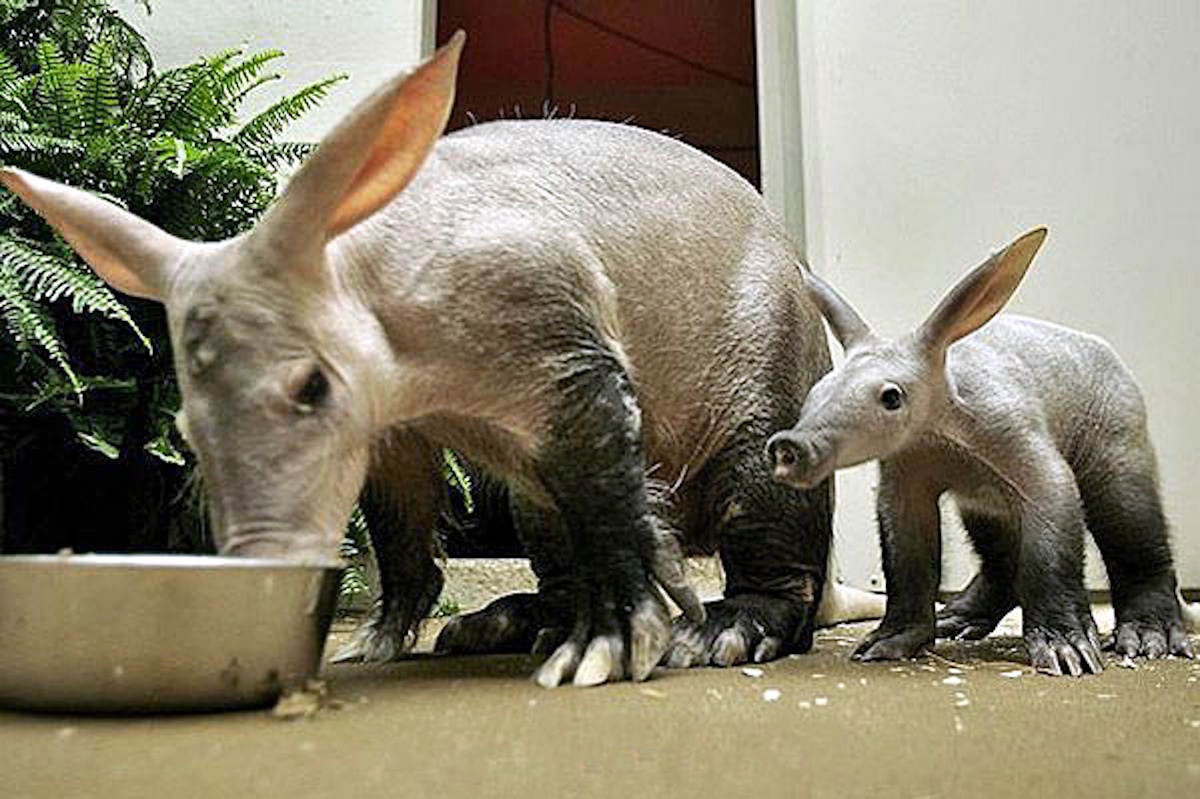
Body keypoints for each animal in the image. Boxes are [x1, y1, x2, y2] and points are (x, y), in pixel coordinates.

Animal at [2, 33, 851, 686]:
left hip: (771, 406)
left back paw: (713, 632)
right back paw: (501, 625)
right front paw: (370, 645)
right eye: (182, 428)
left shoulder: (554, 328)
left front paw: (601, 655)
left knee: (779, 560)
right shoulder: (393, 425)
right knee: (552, 548)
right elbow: (398, 514)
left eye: (311, 386)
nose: (261, 569)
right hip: (531, 503)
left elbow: (608, 481)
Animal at [769, 228, 1195, 675]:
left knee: (1132, 528)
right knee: (1000, 556)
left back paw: (1149, 636)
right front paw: (889, 642)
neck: (941, 431)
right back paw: (957, 619)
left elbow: (1051, 527)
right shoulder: (908, 468)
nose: (789, 447)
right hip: (984, 505)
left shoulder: (1018, 439)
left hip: (1118, 435)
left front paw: (1066, 650)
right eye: (817, 390)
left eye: (891, 397)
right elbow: (907, 553)